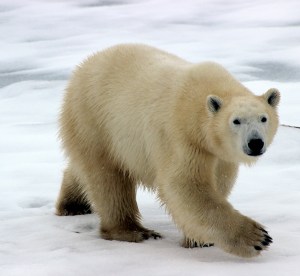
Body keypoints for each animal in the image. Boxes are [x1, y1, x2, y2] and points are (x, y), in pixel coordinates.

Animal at [55, 44, 278, 258]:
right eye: (236, 121)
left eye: (263, 118)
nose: (255, 143)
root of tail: (83, 66)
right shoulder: (181, 137)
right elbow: (184, 185)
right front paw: (257, 238)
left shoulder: (218, 154)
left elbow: (219, 181)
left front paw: (197, 239)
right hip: (93, 120)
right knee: (108, 179)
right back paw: (133, 231)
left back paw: (73, 204)